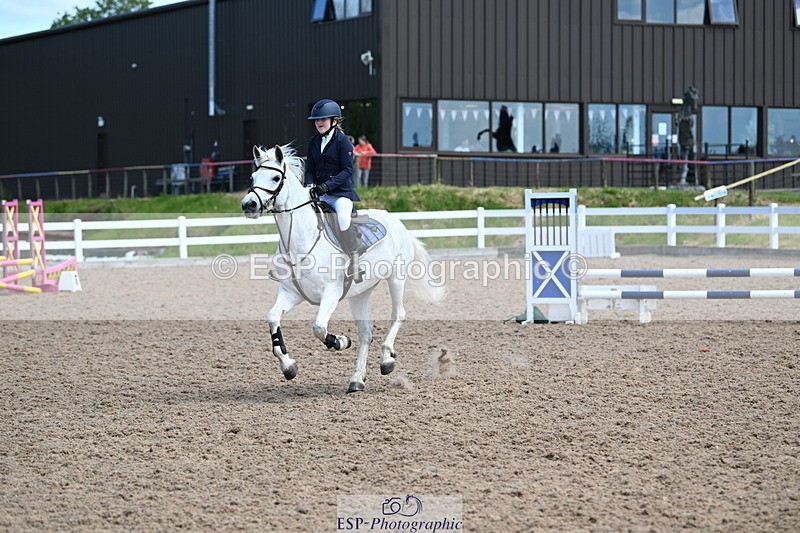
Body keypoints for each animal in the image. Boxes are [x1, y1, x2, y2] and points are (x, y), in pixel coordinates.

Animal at [241, 144, 446, 393]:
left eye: (275, 177)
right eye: (252, 177)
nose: (249, 205)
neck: (300, 239)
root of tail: (396, 221)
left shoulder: (331, 292)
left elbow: (319, 327)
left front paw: (340, 341)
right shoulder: (291, 293)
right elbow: (272, 318)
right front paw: (289, 366)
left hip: (396, 278)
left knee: (398, 315)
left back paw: (387, 359)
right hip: (359, 294)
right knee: (366, 333)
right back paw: (357, 379)